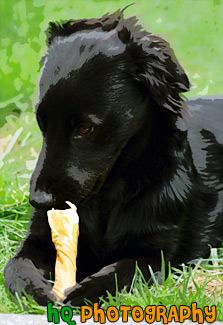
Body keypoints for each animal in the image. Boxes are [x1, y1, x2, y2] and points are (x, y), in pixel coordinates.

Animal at [3, 8, 223, 306]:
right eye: (41, 123)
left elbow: (120, 272)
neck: (106, 197)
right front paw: (35, 289)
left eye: (85, 128)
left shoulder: (153, 253)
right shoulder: (38, 239)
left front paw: (82, 292)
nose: (38, 201)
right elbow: (15, 266)